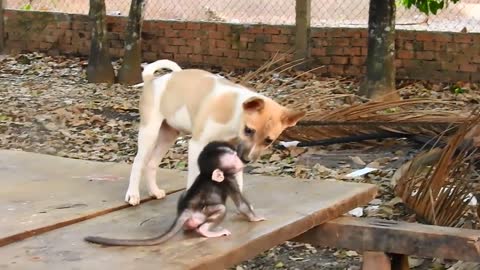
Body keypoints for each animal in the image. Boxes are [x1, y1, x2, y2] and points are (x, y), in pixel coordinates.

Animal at [86, 141, 266, 247]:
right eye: (233, 157)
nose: (244, 160)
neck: (209, 174)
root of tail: (185, 211)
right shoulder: (229, 180)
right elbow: (241, 204)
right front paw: (256, 218)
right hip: (200, 214)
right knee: (220, 208)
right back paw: (206, 230)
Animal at [124, 60, 304, 206]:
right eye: (248, 130)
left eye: (268, 140)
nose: (246, 159)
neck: (234, 113)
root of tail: (151, 81)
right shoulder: (197, 145)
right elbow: (195, 176)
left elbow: (238, 180)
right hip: (149, 133)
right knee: (138, 162)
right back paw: (133, 195)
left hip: (168, 135)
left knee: (152, 163)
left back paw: (154, 191)